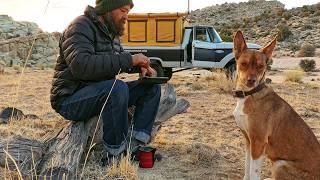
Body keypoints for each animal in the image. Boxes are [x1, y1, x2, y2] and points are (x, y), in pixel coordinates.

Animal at [232, 31, 320, 180]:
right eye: (243, 64)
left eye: (261, 66)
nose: (251, 81)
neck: (249, 95)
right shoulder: (248, 140)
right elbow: (247, 168)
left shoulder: (258, 142)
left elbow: (254, 173)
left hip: (280, 164)